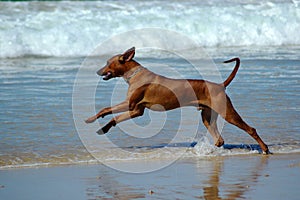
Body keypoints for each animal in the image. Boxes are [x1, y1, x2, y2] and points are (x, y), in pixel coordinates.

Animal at [85, 47, 270, 155]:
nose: (97, 71)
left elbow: (106, 110)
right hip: (207, 117)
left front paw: (93, 120)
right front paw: (102, 127)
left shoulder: (131, 106)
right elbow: (113, 116)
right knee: (219, 140)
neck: (134, 75)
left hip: (228, 114)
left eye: (108, 62)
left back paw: (265, 149)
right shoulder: (136, 110)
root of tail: (219, 85)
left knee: (251, 129)